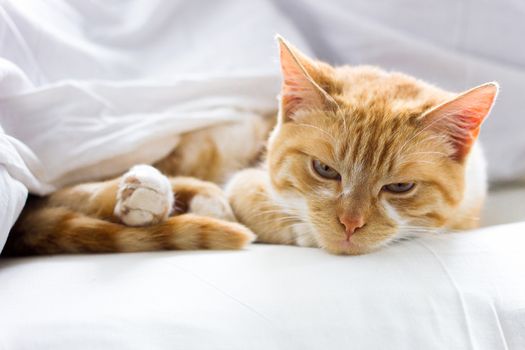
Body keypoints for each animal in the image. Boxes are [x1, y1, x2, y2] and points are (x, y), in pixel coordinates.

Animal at [2, 36, 498, 258]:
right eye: (324, 170)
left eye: (399, 188)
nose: (350, 225)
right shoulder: (250, 171)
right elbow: (252, 192)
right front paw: (296, 226)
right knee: (70, 192)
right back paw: (149, 193)